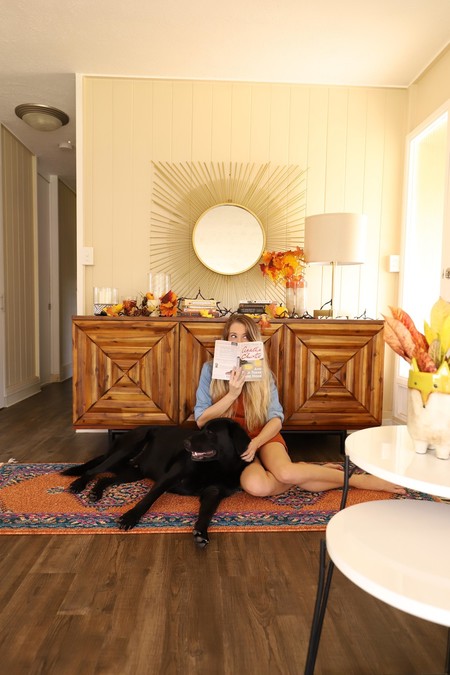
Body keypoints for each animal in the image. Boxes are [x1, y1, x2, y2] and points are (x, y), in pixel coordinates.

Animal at [61, 418, 251, 547]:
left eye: (210, 432)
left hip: (134, 472)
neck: (217, 466)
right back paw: (78, 484)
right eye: (201, 429)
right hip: (126, 449)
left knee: (104, 478)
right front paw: (130, 517)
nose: (185, 443)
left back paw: (95, 492)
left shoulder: (214, 492)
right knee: (93, 470)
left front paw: (201, 531)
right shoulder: (168, 478)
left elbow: (207, 512)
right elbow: (148, 500)